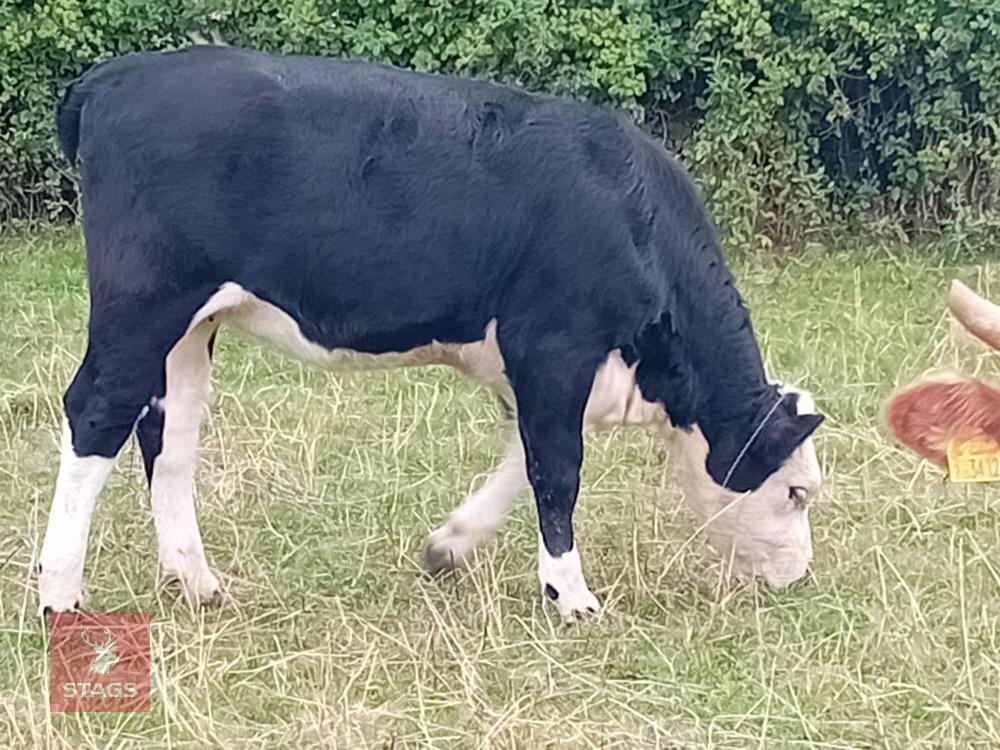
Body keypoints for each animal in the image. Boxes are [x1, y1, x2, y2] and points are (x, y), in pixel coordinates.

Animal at [39, 46, 825, 621]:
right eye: (795, 493)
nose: (800, 576)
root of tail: (114, 77)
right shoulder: (554, 344)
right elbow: (558, 468)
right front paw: (571, 596)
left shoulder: (527, 365)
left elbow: (523, 459)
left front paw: (449, 545)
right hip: (144, 303)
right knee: (97, 413)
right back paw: (60, 595)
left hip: (189, 326)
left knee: (169, 436)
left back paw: (198, 582)